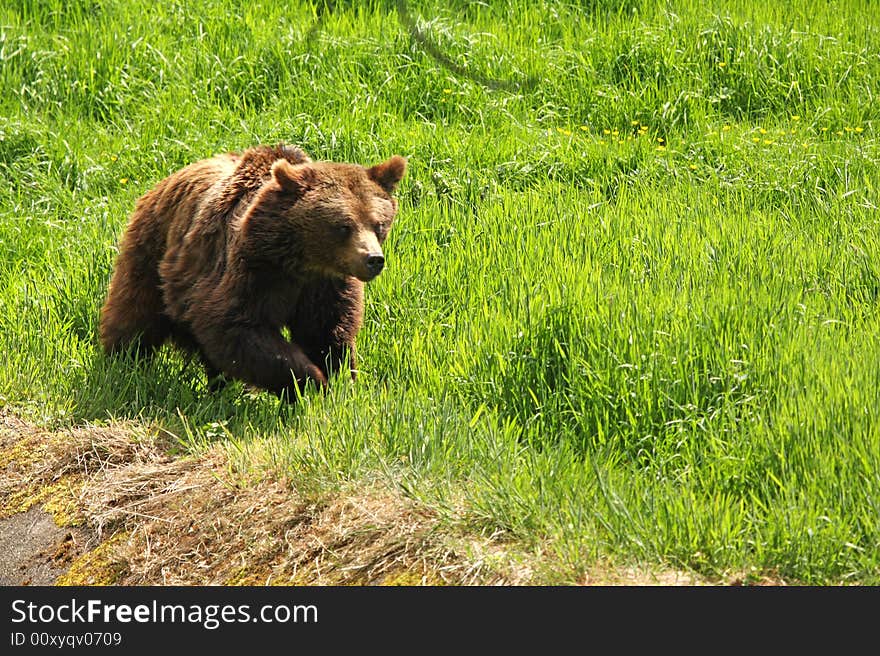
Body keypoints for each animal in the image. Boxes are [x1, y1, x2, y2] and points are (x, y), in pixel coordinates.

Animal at [98, 144, 408, 398]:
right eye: (344, 226)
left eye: (379, 224)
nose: (373, 259)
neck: (300, 260)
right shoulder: (252, 271)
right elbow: (235, 327)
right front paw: (309, 381)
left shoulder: (325, 285)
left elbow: (326, 332)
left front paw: (335, 381)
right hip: (154, 248)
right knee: (135, 310)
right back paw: (123, 362)